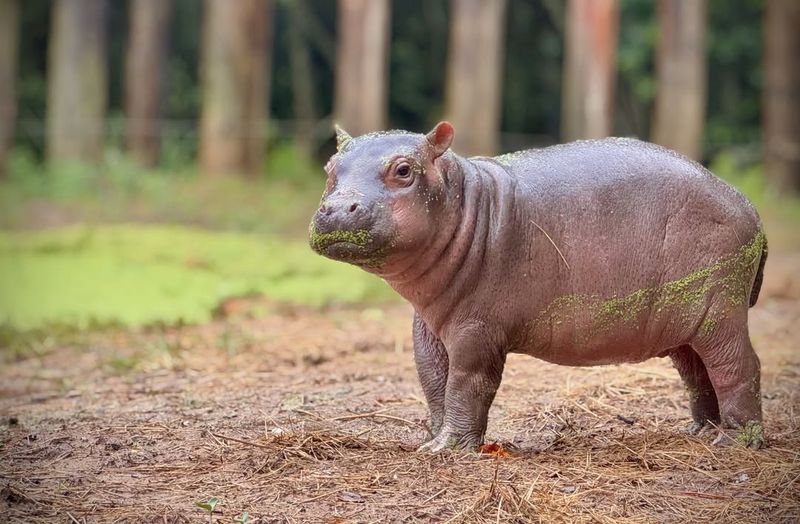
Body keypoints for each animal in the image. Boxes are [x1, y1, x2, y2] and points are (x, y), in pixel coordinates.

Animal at [308, 123, 768, 450]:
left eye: (404, 170)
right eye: (329, 170)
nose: (336, 209)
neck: (465, 200)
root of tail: (747, 205)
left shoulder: (476, 330)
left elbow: (466, 384)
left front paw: (448, 448)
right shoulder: (427, 325)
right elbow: (433, 380)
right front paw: (429, 440)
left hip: (719, 310)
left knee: (738, 366)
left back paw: (734, 442)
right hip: (685, 323)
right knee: (698, 372)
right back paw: (698, 432)